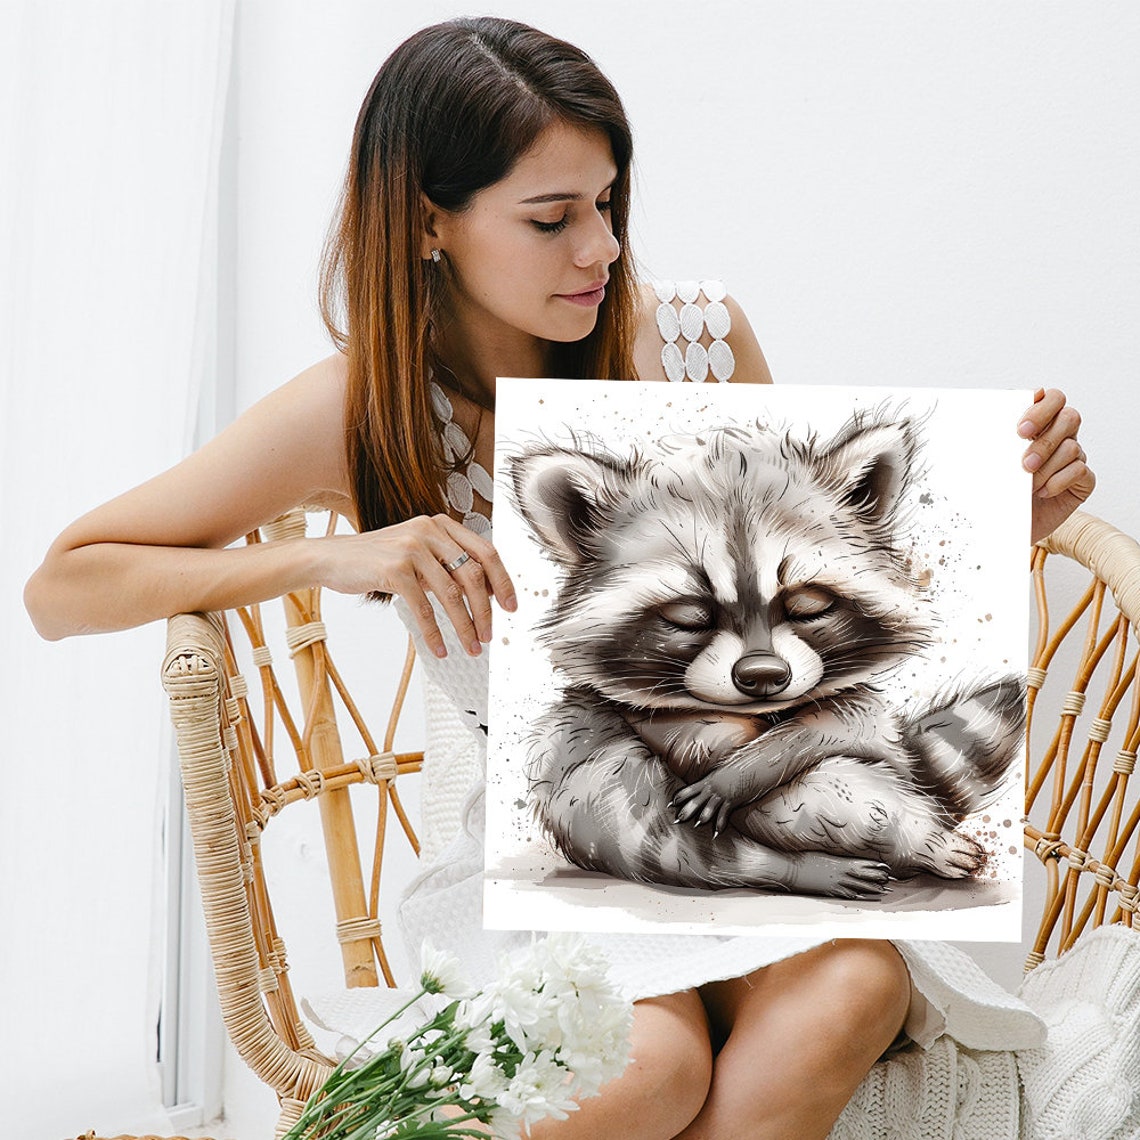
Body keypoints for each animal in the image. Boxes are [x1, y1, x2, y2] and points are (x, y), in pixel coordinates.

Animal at [506, 410, 1025, 901]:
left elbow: (833, 729)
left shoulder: (866, 714)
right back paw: (803, 868)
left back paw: (919, 841)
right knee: (655, 827)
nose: (762, 676)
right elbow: (682, 739)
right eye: (690, 614)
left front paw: (749, 768)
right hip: (591, 783)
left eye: (807, 604)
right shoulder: (630, 716)